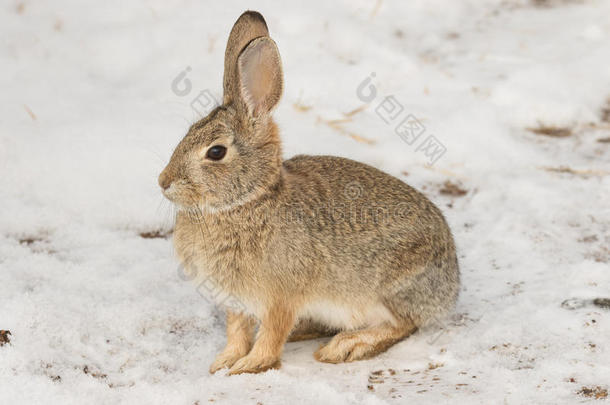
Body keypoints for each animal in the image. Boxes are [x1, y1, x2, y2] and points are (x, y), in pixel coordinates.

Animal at [159, 10, 458, 376]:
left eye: (216, 152)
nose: (163, 181)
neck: (248, 201)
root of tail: (452, 284)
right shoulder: (238, 303)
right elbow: (237, 331)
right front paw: (225, 361)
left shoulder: (281, 298)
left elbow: (271, 335)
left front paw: (250, 365)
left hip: (389, 289)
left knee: (403, 324)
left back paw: (346, 346)